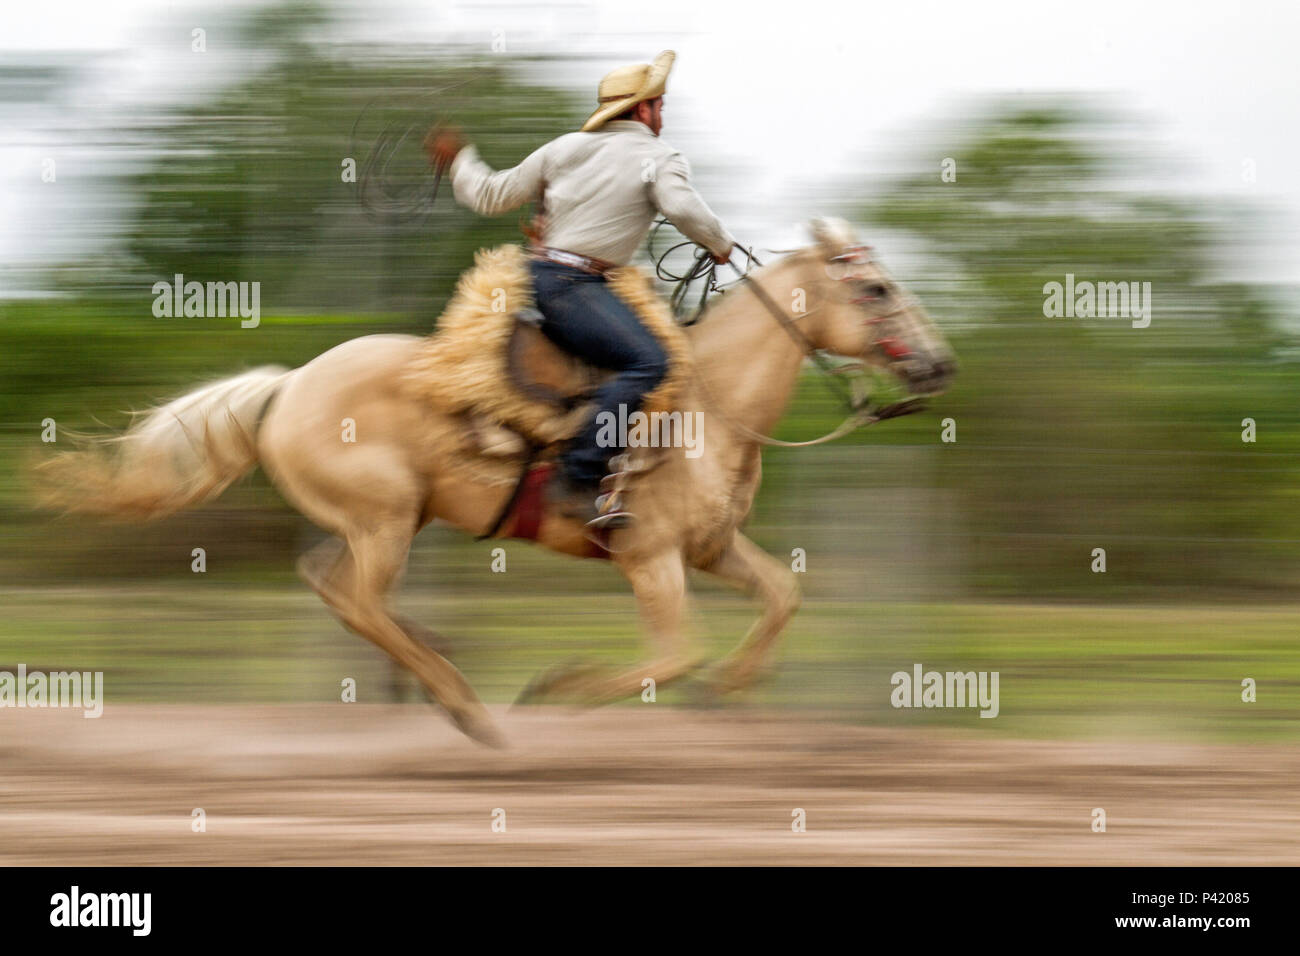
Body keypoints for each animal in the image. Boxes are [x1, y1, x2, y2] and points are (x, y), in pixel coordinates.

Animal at [40, 218, 956, 749]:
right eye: (877, 286)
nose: (940, 364)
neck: (707, 407)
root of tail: (291, 382)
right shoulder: (650, 556)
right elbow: (674, 652)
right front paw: (557, 693)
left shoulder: (713, 546)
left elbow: (780, 597)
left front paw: (726, 693)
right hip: (386, 521)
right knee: (360, 600)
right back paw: (470, 709)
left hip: (380, 524)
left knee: (332, 587)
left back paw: (438, 676)